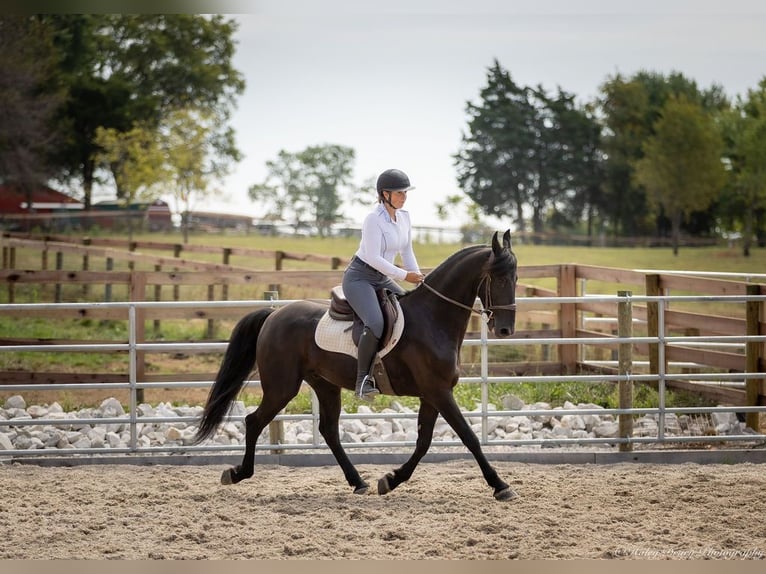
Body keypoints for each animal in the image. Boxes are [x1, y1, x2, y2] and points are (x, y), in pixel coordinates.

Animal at [196, 230, 520, 500]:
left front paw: (390, 480)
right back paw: (237, 473)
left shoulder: (432, 395)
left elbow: (424, 442)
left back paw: (358, 482)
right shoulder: (438, 392)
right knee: (254, 421)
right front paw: (500, 486)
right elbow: (468, 437)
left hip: (324, 385)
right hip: (281, 387)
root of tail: (274, 315)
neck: (432, 319)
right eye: (500, 279)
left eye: (515, 279)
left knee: (328, 430)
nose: (505, 330)